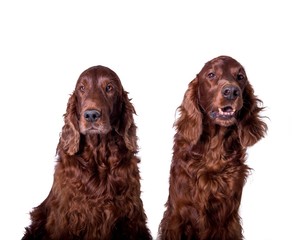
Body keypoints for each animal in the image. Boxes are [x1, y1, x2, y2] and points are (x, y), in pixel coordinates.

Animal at [22, 65, 152, 240]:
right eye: (82, 88)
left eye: (109, 87)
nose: (91, 115)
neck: (98, 156)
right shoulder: (66, 216)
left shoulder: (131, 215)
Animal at [159, 56, 268, 240]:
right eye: (211, 74)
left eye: (240, 77)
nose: (231, 91)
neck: (213, 151)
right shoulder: (178, 215)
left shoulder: (228, 219)